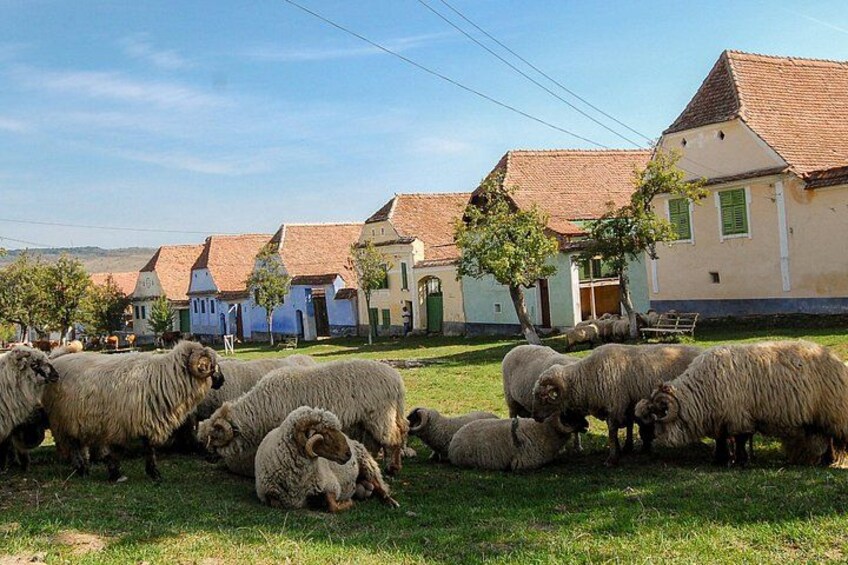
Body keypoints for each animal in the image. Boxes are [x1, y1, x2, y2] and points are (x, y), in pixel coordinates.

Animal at [43, 340, 224, 482]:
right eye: (210, 366)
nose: (222, 380)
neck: (165, 377)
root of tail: (57, 360)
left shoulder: (147, 420)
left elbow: (148, 448)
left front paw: (150, 472)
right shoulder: (122, 423)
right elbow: (126, 450)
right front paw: (120, 473)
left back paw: (84, 467)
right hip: (64, 419)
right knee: (73, 445)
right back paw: (81, 469)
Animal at [198, 358, 407, 478]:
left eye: (215, 436)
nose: (207, 457)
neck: (260, 407)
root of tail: (396, 378)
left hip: (381, 414)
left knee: (394, 438)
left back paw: (394, 467)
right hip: (373, 418)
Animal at [255, 406, 398, 512]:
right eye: (326, 434)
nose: (348, 454)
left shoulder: (330, 485)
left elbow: (332, 506)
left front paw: (347, 502)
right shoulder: (269, 495)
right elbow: (275, 503)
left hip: (367, 465)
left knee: (380, 487)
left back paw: (391, 502)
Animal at [533, 343, 703, 466]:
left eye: (544, 397)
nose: (535, 417)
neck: (586, 377)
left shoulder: (615, 405)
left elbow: (612, 432)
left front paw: (612, 458)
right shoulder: (626, 405)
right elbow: (628, 426)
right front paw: (625, 448)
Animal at [635, 340, 848, 467]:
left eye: (659, 413)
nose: (655, 438)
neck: (700, 391)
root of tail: (836, 359)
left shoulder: (738, 415)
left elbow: (740, 439)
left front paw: (741, 461)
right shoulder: (721, 419)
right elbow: (721, 440)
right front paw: (720, 460)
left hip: (832, 412)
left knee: (832, 437)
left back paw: (829, 461)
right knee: (825, 437)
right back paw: (824, 460)